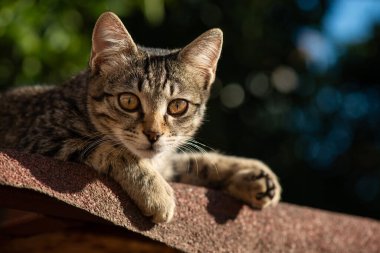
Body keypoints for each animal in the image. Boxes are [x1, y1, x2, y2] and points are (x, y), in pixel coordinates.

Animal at [0, 11, 280, 222]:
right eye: (128, 101)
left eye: (178, 106)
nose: (153, 134)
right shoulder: (43, 138)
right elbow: (116, 148)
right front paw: (157, 193)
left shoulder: (167, 160)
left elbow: (197, 161)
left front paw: (254, 174)